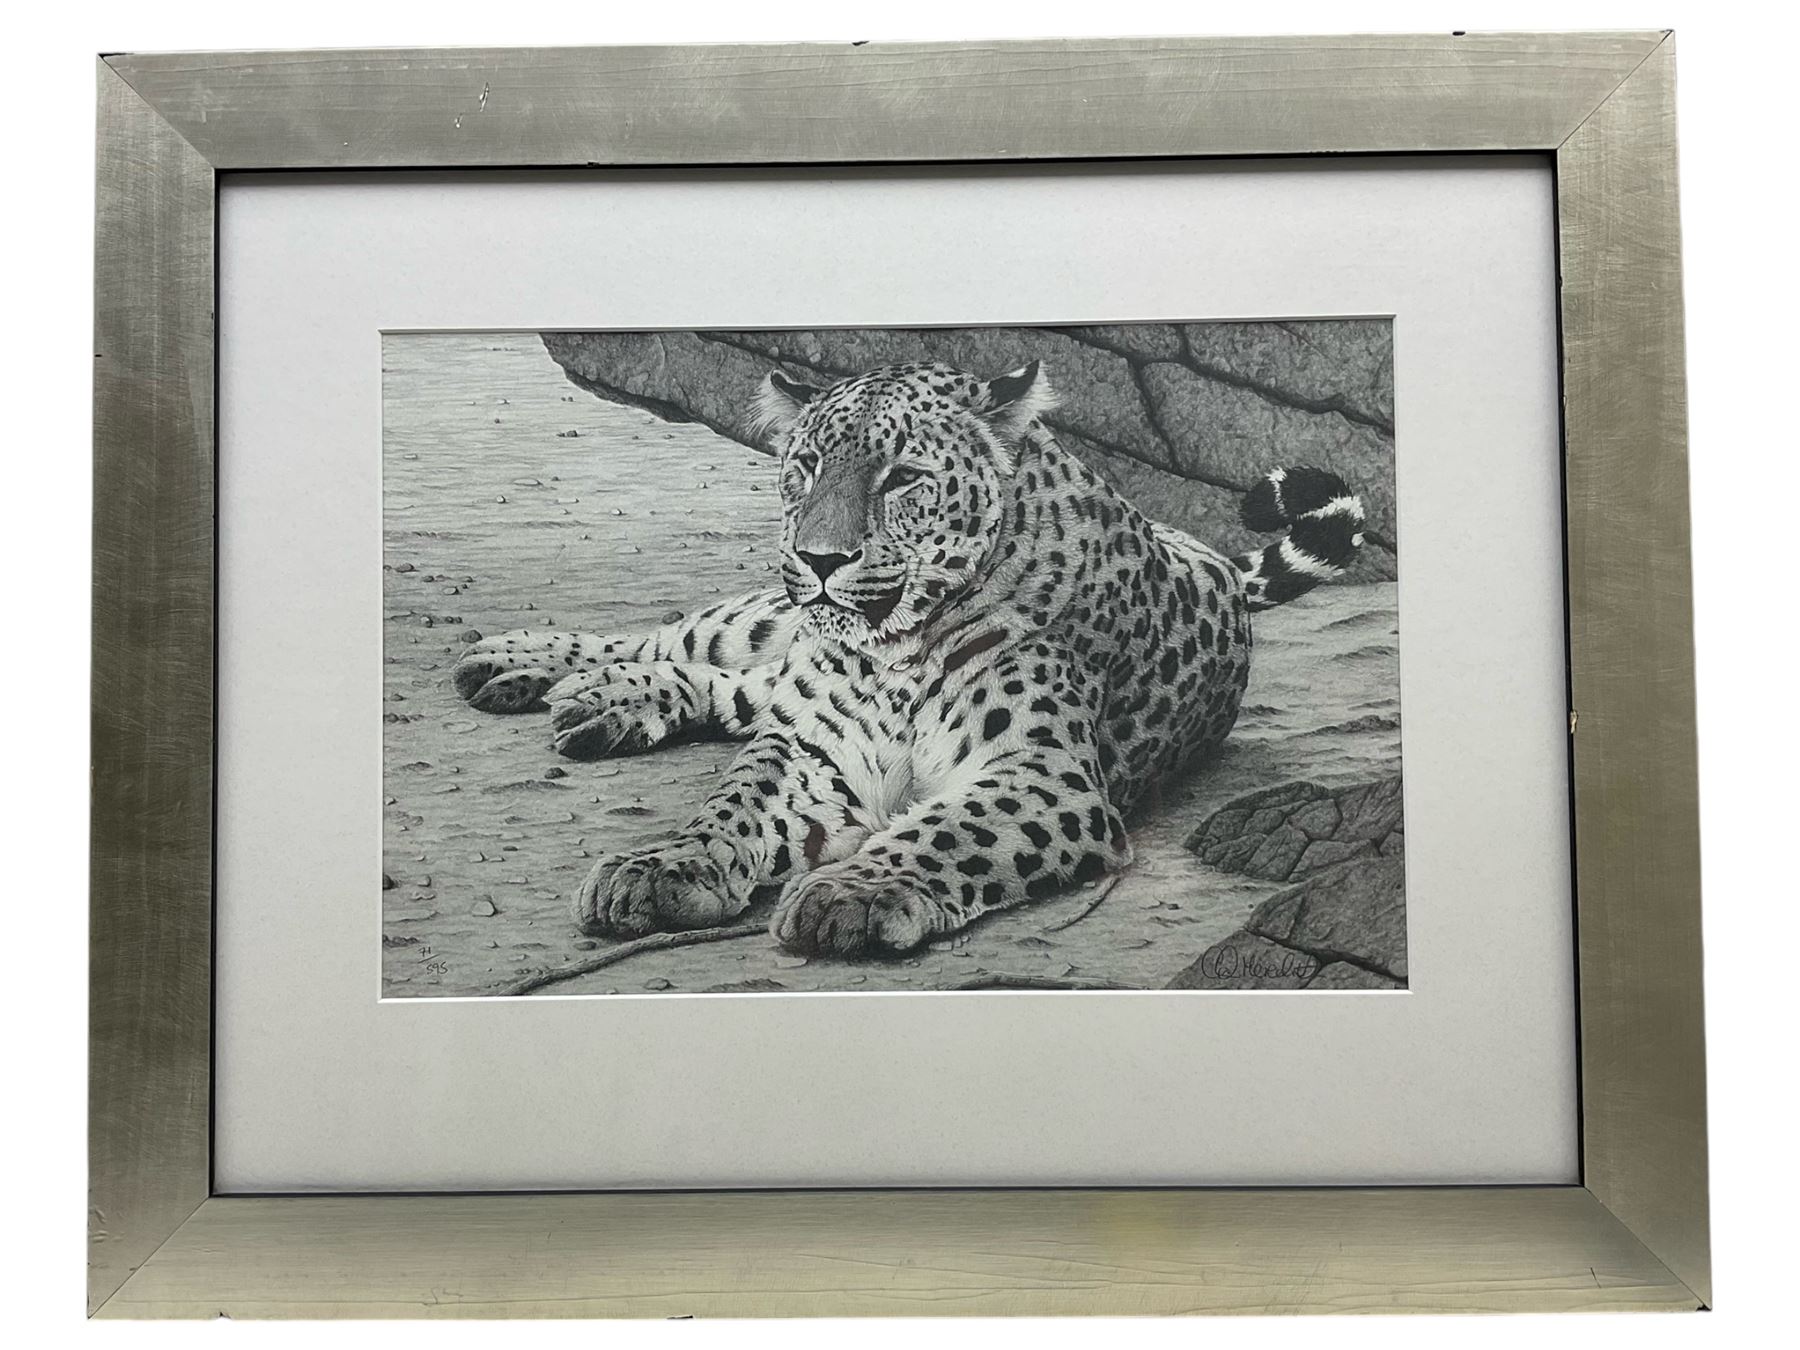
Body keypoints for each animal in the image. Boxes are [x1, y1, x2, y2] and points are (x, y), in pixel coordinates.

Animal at [451, 360, 1365, 957]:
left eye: (902, 477)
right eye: (806, 465)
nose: (819, 559)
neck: (895, 653)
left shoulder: (1043, 774)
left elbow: (949, 830)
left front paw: (852, 893)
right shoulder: (810, 747)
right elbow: (735, 802)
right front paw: (663, 864)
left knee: (730, 686)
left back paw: (594, 699)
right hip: (765, 620)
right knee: (690, 640)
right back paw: (525, 664)